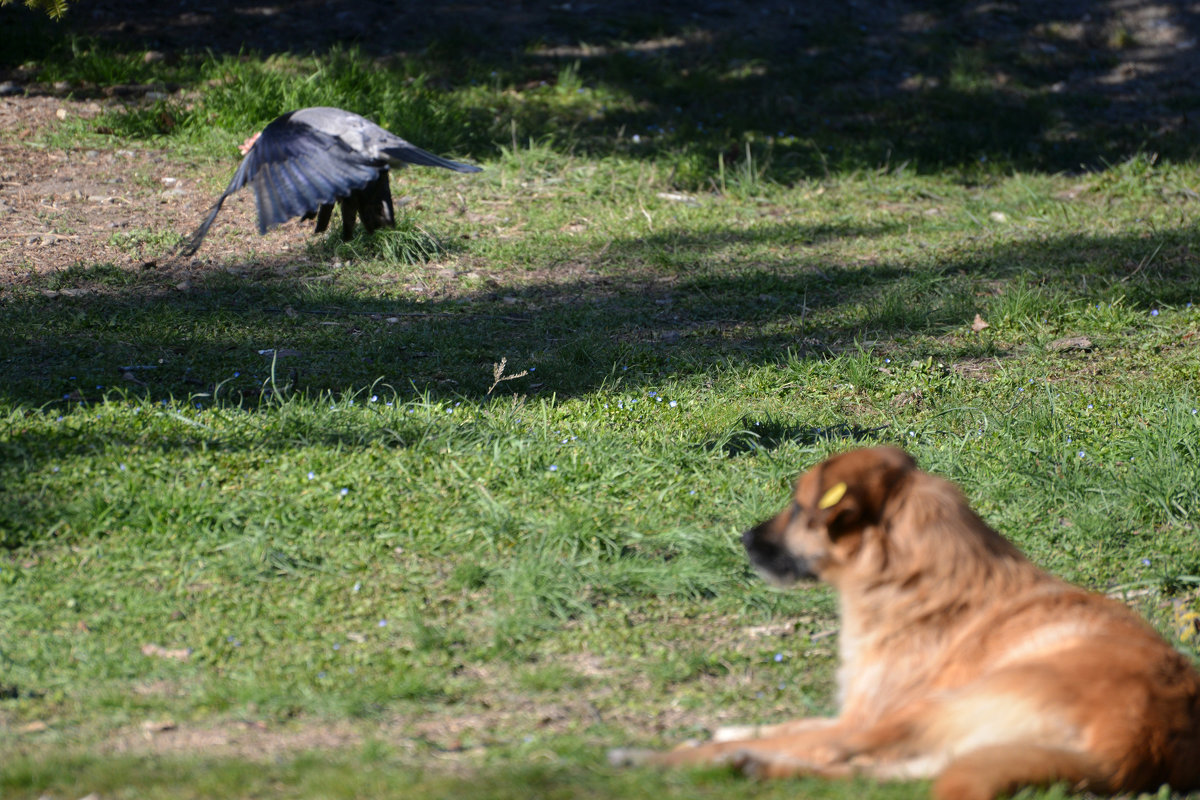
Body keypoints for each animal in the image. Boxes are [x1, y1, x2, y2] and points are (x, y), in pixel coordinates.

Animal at [619, 448, 1200, 800]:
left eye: (798, 509)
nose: (743, 539)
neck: (912, 573)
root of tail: (1134, 743)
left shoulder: (861, 717)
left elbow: (805, 732)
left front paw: (694, 747)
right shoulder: (856, 713)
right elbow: (787, 725)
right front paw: (734, 731)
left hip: (933, 708)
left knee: (837, 756)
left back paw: (668, 761)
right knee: (870, 773)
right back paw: (752, 766)